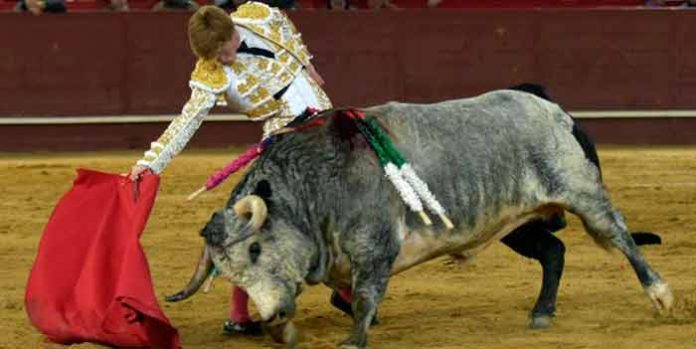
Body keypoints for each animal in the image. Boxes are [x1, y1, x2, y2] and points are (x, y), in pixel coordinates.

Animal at [167, 89, 668, 346]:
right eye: (228, 273)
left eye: (255, 247)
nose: (272, 313)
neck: (315, 184)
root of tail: (553, 109)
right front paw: (282, 328)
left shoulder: (374, 249)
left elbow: (364, 300)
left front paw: (351, 340)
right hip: (516, 221)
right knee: (554, 251)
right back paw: (542, 312)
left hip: (582, 192)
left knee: (621, 236)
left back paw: (660, 294)